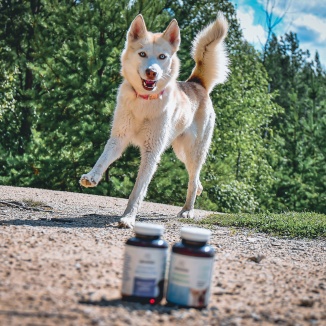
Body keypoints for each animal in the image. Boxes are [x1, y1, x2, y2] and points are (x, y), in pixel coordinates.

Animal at [80, 12, 228, 227]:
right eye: (142, 54)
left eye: (162, 57)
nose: (152, 72)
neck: (144, 101)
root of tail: (196, 84)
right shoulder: (118, 139)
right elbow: (103, 160)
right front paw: (92, 176)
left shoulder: (152, 152)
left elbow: (138, 190)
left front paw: (128, 217)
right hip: (180, 151)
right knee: (195, 177)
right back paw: (198, 190)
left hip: (194, 150)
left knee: (192, 180)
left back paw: (187, 210)